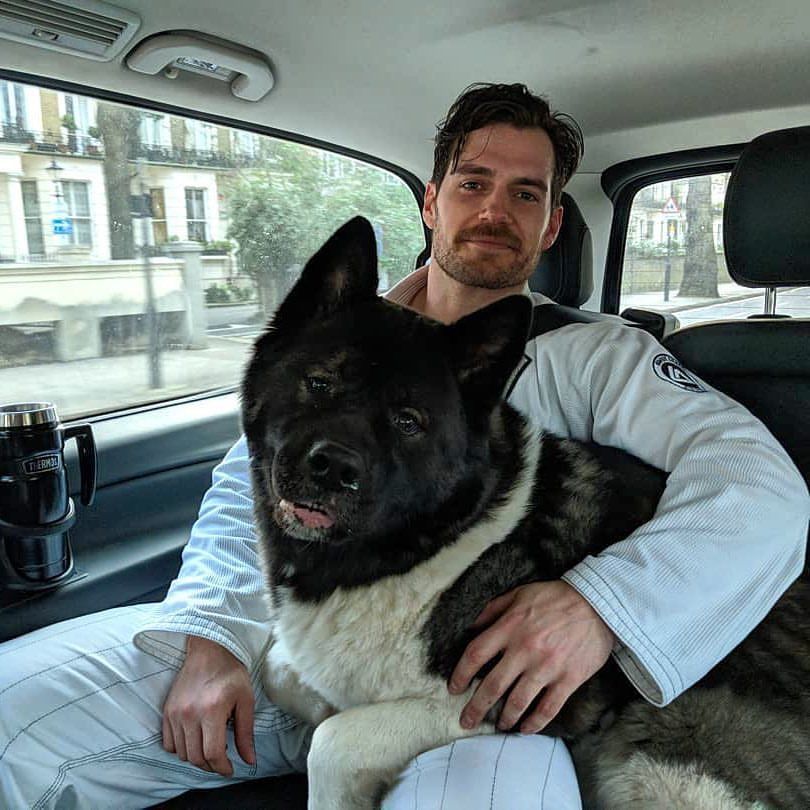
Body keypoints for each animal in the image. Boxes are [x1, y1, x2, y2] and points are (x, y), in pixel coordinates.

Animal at [240, 216, 808, 808]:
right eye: (319, 383)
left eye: (407, 422)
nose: (332, 468)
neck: (437, 536)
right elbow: (280, 670)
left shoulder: (490, 701)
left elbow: (333, 740)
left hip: (664, 771)